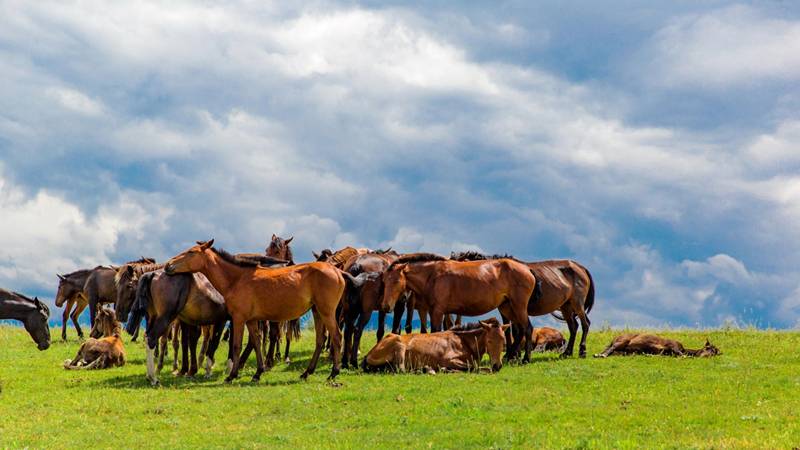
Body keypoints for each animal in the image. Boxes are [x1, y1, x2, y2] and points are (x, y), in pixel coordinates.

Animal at [166, 239, 344, 384]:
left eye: (191, 252)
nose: (168, 265)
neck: (236, 279)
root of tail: (337, 271)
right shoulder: (251, 320)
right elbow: (257, 343)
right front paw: (258, 373)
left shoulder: (238, 318)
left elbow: (236, 345)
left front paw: (231, 375)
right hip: (317, 312)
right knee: (320, 340)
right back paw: (307, 372)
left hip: (326, 312)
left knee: (336, 336)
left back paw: (333, 373)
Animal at [364, 318, 512, 374]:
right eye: (490, 341)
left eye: (503, 341)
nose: (497, 366)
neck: (463, 341)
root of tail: (369, 354)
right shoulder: (448, 359)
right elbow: (473, 368)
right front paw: (446, 370)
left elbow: (482, 368)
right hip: (399, 345)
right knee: (401, 370)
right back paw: (426, 370)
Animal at [380, 255, 536, 360]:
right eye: (384, 281)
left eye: (396, 281)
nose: (386, 306)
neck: (433, 276)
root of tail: (527, 269)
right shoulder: (434, 311)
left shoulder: (438, 312)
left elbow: (436, 331)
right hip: (507, 307)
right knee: (519, 331)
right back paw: (510, 356)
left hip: (518, 306)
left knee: (527, 328)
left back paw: (525, 358)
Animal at [450, 251, 592, 360]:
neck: (496, 273)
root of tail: (581, 267)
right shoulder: (506, 309)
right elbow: (511, 331)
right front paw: (512, 353)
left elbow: (514, 331)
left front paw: (513, 354)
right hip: (565, 306)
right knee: (573, 327)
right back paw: (567, 353)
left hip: (577, 303)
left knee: (585, 324)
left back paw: (582, 351)